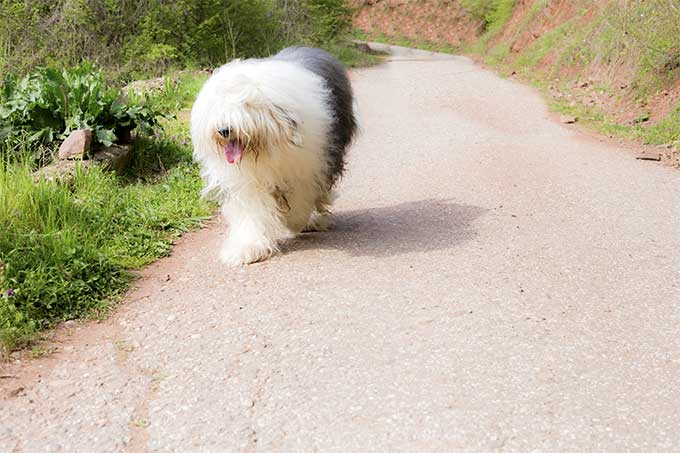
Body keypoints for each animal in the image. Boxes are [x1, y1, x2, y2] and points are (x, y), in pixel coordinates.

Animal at [189, 46, 354, 264]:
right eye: (218, 105)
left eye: (246, 104)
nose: (224, 130)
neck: (264, 152)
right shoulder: (247, 181)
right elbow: (252, 210)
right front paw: (248, 248)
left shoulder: (305, 168)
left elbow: (301, 197)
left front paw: (296, 221)